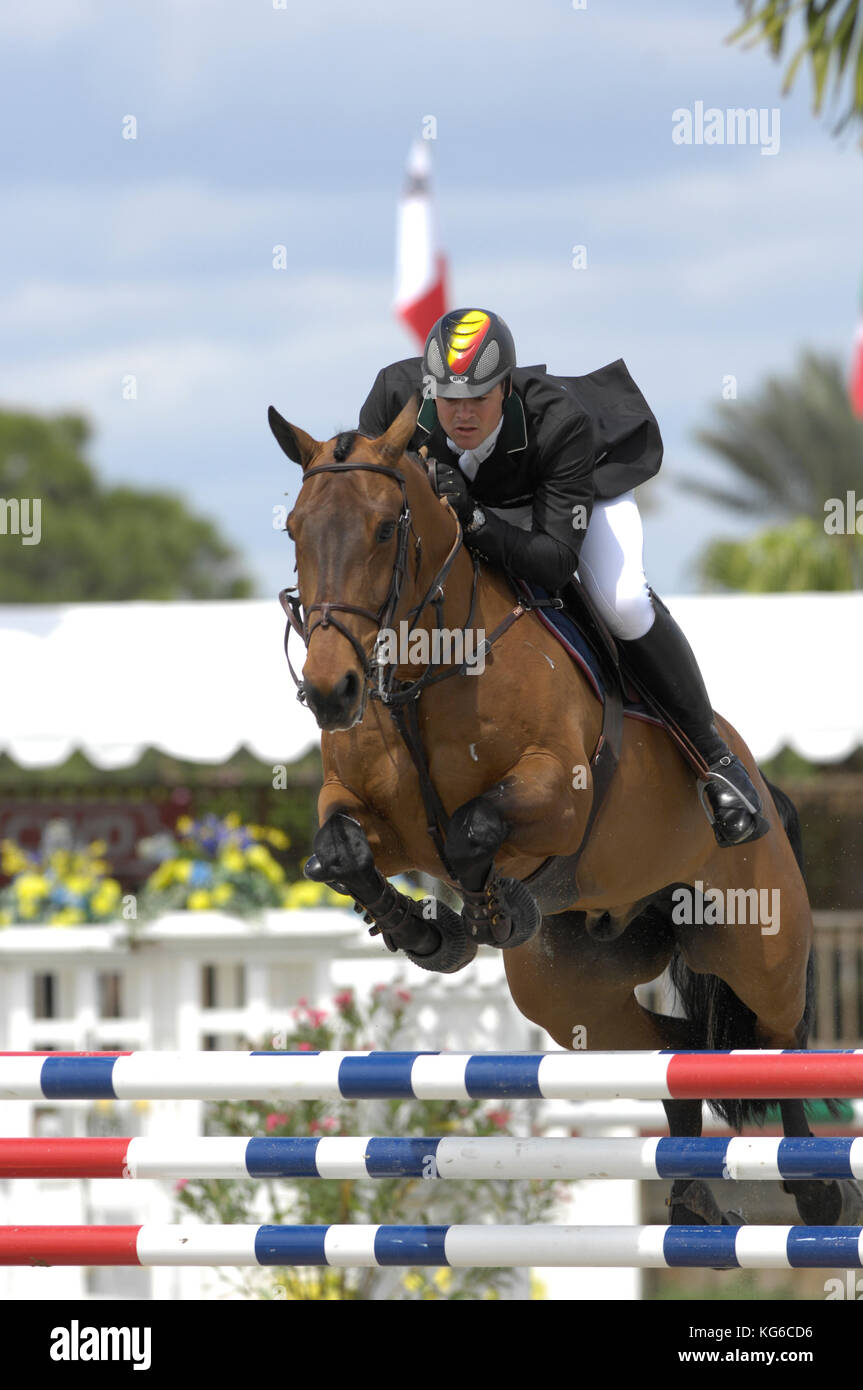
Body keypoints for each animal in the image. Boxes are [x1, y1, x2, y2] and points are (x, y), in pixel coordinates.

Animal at [269, 394, 861, 1228]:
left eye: (386, 528)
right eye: (294, 528)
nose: (329, 692)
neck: (425, 671)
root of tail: (765, 792)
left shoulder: (558, 794)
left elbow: (473, 830)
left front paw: (485, 908)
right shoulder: (372, 818)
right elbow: (340, 852)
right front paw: (426, 930)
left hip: (758, 944)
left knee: (775, 1045)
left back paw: (815, 1187)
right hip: (569, 994)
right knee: (672, 1047)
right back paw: (691, 1194)